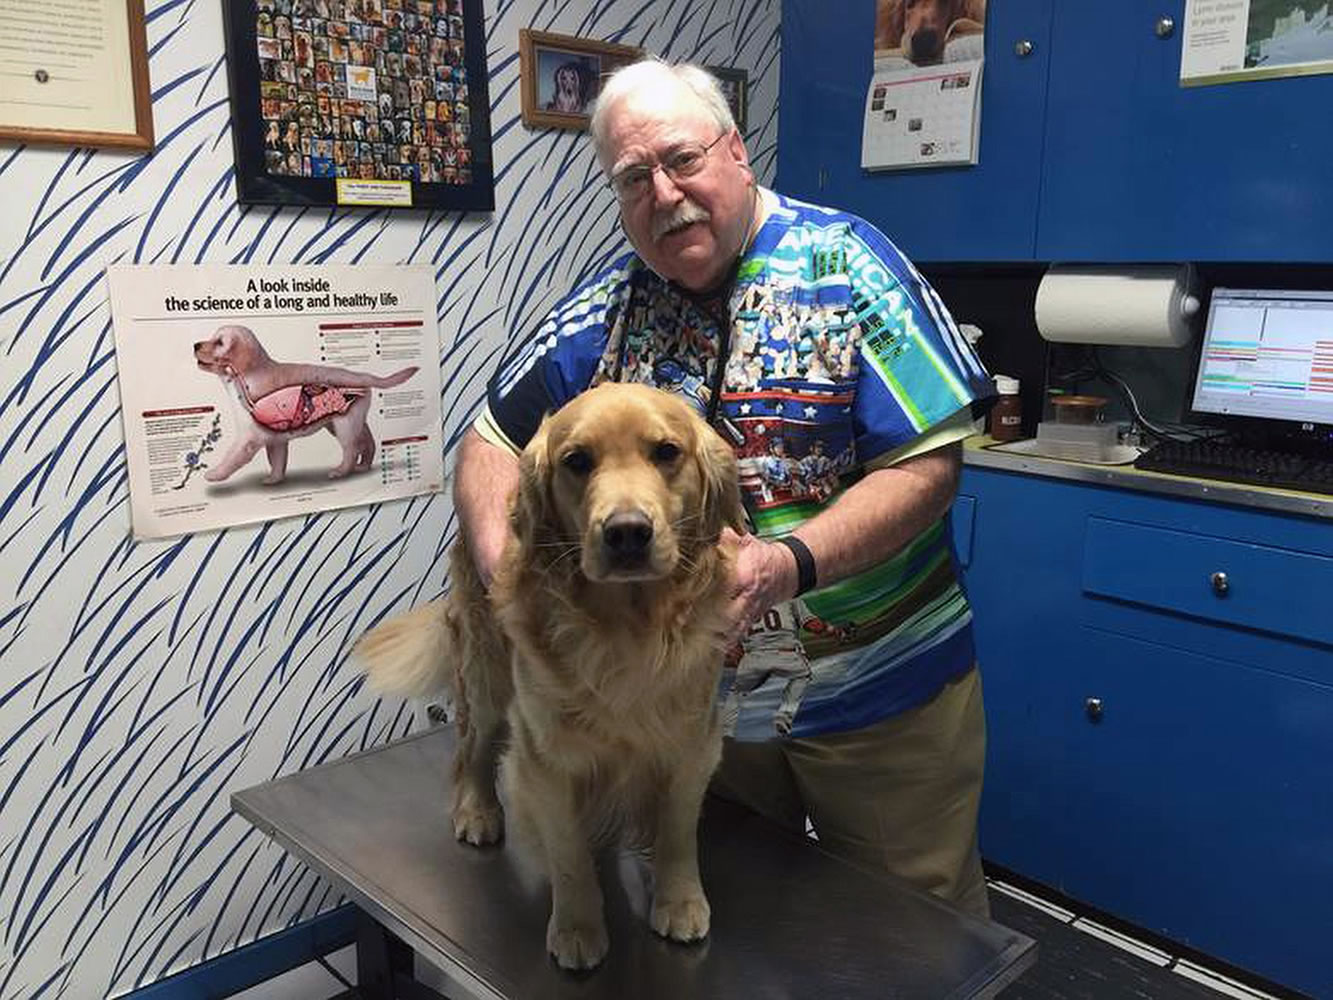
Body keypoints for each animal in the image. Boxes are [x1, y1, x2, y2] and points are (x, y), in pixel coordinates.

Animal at [193, 325, 415, 485]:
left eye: (219, 342)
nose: (195, 344)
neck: (246, 377)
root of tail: (362, 375)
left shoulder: (248, 437)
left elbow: (231, 457)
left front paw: (214, 474)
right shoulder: (276, 438)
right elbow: (277, 461)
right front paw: (274, 479)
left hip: (344, 425)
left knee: (351, 449)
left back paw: (340, 471)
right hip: (351, 422)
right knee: (368, 442)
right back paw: (363, 466)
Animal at [359, 381, 746, 970]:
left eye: (667, 452)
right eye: (577, 461)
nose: (627, 533)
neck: (627, 628)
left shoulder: (691, 742)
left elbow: (679, 830)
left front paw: (679, 901)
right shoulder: (547, 759)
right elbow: (568, 854)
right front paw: (578, 928)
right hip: (486, 679)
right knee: (471, 750)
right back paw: (477, 811)